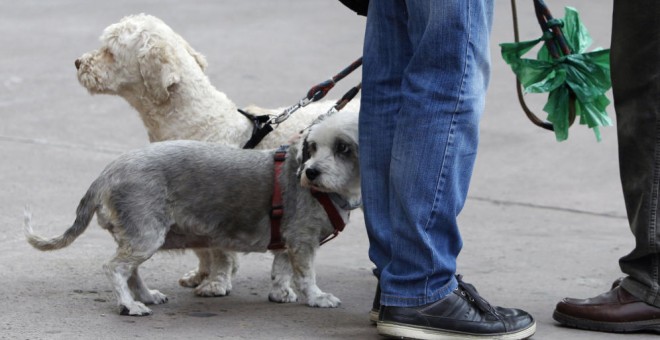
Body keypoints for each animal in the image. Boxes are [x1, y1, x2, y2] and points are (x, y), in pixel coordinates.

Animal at [24, 111, 360, 316]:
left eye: (343, 148)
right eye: (312, 147)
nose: (311, 172)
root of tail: (107, 173)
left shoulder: (288, 241)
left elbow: (281, 269)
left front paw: (281, 293)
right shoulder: (302, 241)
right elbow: (306, 275)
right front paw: (317, 297)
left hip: (138, 236)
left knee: (131, 270)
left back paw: (145, 296)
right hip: (146, 234)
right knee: (115, 268)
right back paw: (129, 305)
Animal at [76, 13, 360, 298]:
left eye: (110, 51)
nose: (78, 62)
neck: (201, 121)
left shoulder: (217, 210)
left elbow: (220, 252)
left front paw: (216, 282)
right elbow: (203, 249)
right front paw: (200, 275)